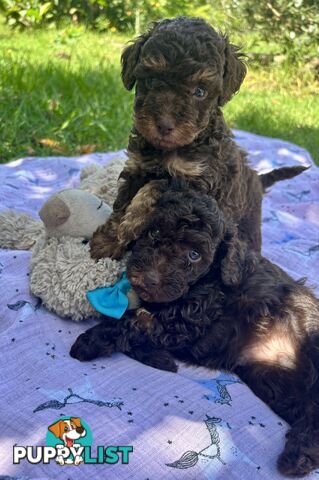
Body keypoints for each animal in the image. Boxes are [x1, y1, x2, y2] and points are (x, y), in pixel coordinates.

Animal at [71, 180, 319, 476]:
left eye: (194, 255)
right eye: (154, 232)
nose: (149, 278)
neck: (207, 280)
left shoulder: (185, 322)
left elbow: (130, 321)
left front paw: (91, 341)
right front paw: (159, 359)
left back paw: (297, 457)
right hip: (271, 380)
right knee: (309, 409)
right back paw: (301, 455)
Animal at [90, 16, 304, 260]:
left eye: (200, 91)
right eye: (151, 81)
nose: (164, 124)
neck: (171, 150)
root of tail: (257, 177)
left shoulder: (198, 187)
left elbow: (153, 188)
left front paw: (126, 227)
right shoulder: (138, 166)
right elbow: (124, 203)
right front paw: (109, 240)